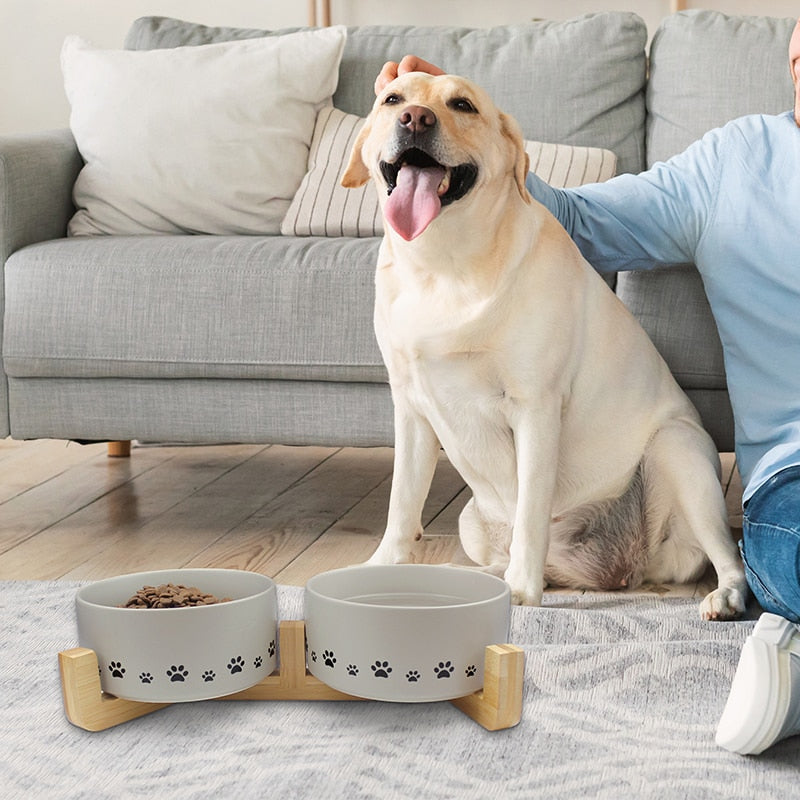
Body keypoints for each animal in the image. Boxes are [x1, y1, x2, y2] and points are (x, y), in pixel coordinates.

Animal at [340, 73, 748, 620]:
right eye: (393, 99)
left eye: (462, 105)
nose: (416, 119)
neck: (443, 264)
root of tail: (620, 568)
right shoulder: (410, 409)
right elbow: (402, 503)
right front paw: (383, 568)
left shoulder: (534, 408)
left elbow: (531, 510)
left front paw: (520, 591)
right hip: (472, 522)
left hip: (677, 450)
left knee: (728, 555)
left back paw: (724, 596)